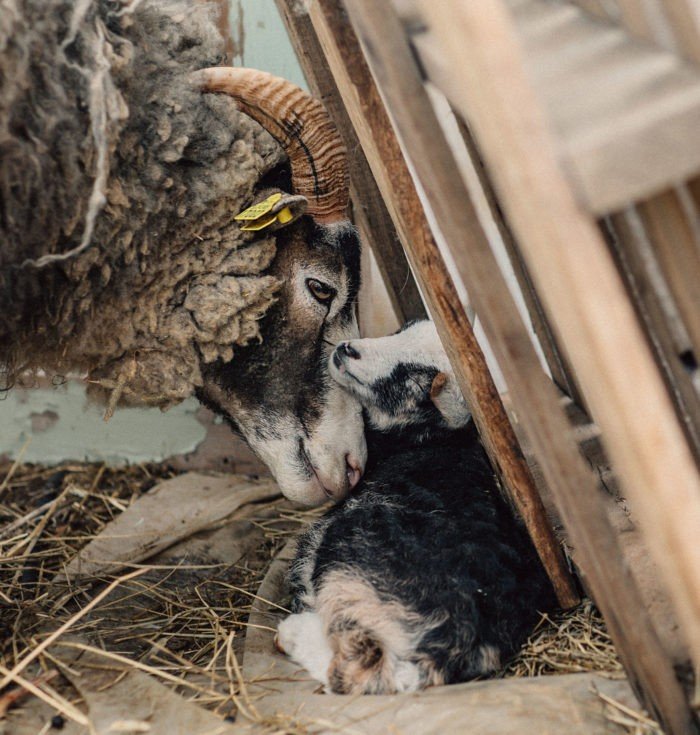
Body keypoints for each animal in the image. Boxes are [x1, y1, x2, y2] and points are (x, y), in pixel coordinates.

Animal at [276, 320, 557, 694]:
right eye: (401, 329)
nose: (348, 349)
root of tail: (438, 654)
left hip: (348, 561)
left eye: (413, 374)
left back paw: (293, 633)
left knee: (358, 669)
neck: (430, 441)